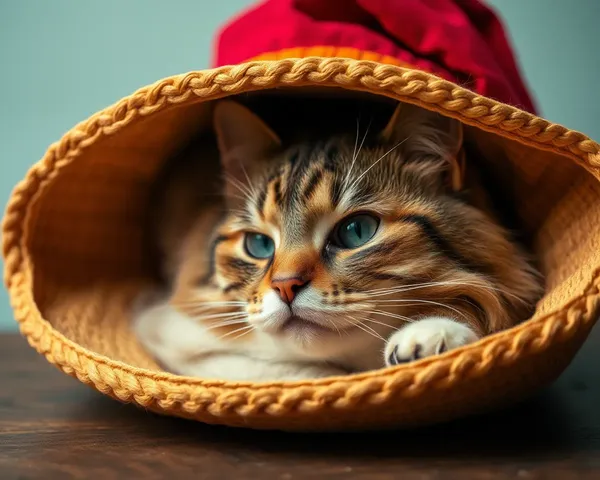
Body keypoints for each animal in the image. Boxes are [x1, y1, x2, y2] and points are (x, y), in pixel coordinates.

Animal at [132, 98, 544, 382]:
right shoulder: (170, 332)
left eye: (356, 231)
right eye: (259, 246)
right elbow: (292, 372)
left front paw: (430, 336)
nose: (285, 286)